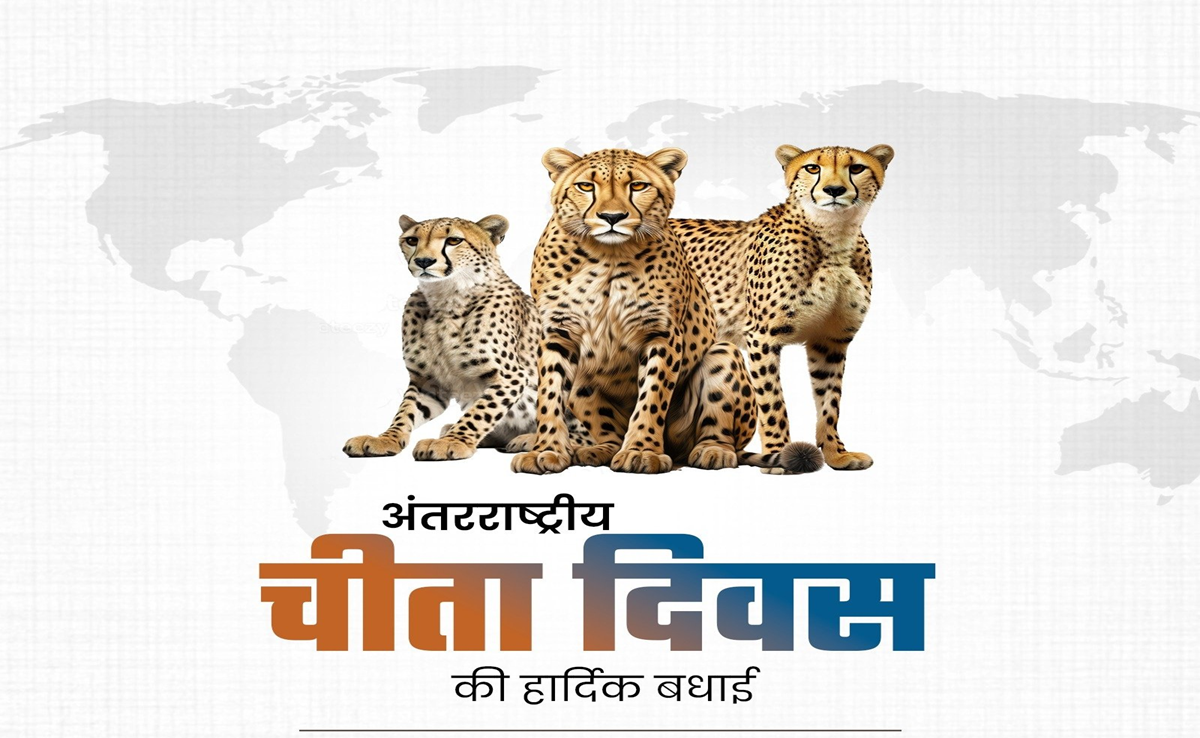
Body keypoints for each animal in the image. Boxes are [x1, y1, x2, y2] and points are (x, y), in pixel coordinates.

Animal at [342, 214, 543, 462]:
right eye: (412, 240)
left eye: (454, 240)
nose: (423, 261)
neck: (445, 299)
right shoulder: (427, 382)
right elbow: (406, 412)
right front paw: (385, 439)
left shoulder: (511, 376)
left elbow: (481, 412)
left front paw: (452, 442)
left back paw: (527, 440)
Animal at [511, 147, 823, 476]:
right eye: (585, 186)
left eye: (638, 186)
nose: (612, 217)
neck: (608, 255)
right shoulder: (558, 333)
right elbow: (550, 395)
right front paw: (546, 450)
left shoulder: (661, 334)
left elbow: (652, 395)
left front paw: (641, 451)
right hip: (584, 382)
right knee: (606, 431)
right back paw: (598, 451)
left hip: (722, 355)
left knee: (720, 431)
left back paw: (712, 451)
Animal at [672, 144, 894, 472]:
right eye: (813, 168)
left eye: (857, 168)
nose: (834, 190)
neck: (835, 238)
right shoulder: (762, 337)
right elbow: (772, 402)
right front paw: (779, 455)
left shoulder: (830, 340)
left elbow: (830, 402)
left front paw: (837, 454)